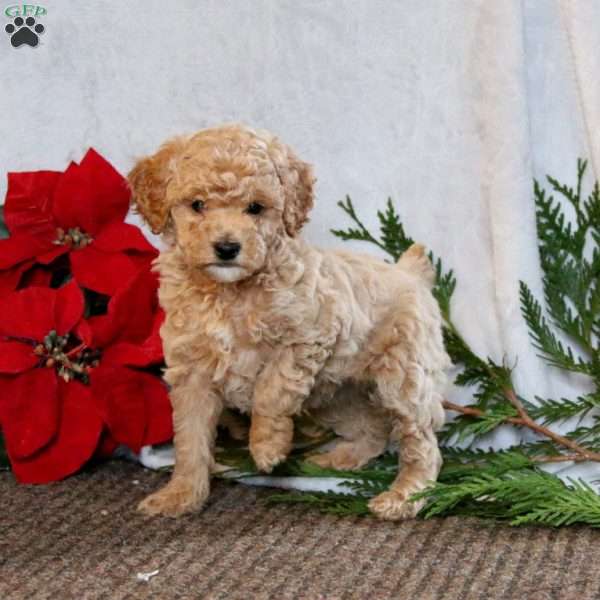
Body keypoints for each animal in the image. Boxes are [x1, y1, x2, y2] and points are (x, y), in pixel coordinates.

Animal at [130, 123, 450, 520]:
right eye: (197, 205)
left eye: (255, 208)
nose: (227, 248)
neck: (230, 292)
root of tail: (410, 275)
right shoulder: (192, 373)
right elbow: (189, 439)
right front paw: (181, 495)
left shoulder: (307, 336)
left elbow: (271, 389)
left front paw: (266, 446)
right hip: (337, 392)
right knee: (372, 426)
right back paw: (340, 458)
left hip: (405, 376)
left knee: (420, 441)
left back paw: (404, 497)